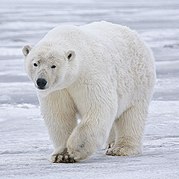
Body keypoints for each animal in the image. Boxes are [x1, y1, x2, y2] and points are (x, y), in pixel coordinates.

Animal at [22, 21, 156, 162]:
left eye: (53, 65)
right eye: (35, 63)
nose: (41, 81)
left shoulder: (88, 76)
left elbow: (98, 107)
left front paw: (76, 149)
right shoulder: (57, 90)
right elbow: (60, 115)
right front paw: (61, 155)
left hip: (137, 82)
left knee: (131, 115)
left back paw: (121, 148)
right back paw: (111, 143)